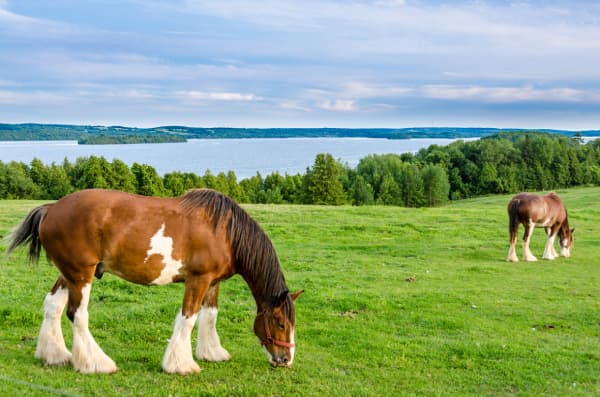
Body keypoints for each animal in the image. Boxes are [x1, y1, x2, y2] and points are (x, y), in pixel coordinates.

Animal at [7, 189, 302, 374]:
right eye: (280, 323)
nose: (286, 360)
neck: (225, 232)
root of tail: (50, 209)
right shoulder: (198, 280)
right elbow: (188, 318)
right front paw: (181, 365)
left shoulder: (212, 282)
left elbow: (209, 316)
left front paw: (211, 352)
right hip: (81, 275)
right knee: (76, 315)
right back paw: (96, 364)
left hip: (69, 274)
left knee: (53, 306)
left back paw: (55, 355)